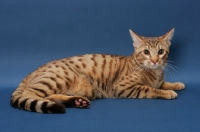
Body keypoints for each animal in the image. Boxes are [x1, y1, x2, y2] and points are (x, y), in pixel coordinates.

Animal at [9, 28, 184, 113]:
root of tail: (30, 73)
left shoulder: (158, 79)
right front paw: (167, 92)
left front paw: (176, 84)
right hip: (57, 78)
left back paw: (76, 101)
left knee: (50, 96)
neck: (155, 72)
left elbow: (163, 83)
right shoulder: (123, 87)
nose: (154, 61)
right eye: (146, 52)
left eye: (160, 52)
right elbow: (150, 89)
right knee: (31, 95)